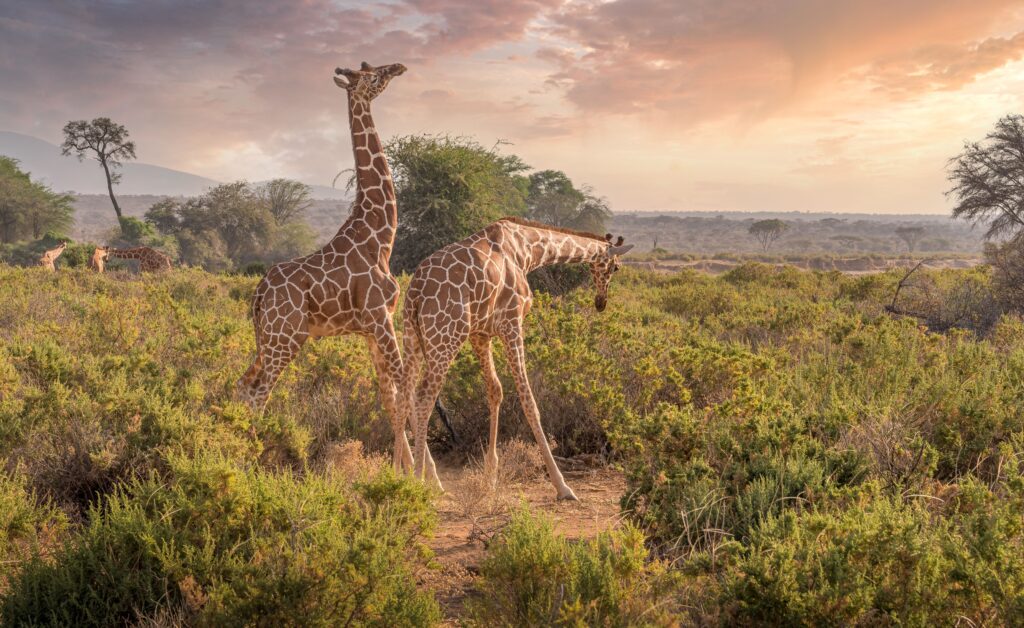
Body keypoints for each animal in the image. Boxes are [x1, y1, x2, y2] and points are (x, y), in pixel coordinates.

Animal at [236, 61, 438, 480]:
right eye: (373, 74)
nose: (398, 66)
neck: (380, 237)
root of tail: (258, 294)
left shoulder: (370, 329)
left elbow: (389, 395)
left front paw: (402, 469)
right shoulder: (380, 318)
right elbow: (406, 387)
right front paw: (429, 478)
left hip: (267, 339)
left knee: (244, 384)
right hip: (286, 339)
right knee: (260, 391)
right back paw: (250, 464)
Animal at [398, 217, 633, 499]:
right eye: (616, 268)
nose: (601, 302)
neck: (528, 250)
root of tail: (415, 291)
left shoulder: (480, 333)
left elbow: (495, 391)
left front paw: (490, 477)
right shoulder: (512, 323)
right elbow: (528, 400)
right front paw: (562, 486)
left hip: (412, 336)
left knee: (404, 395)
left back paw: (399, 474)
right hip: (446, 336)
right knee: (423, 397)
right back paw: (419, 482)